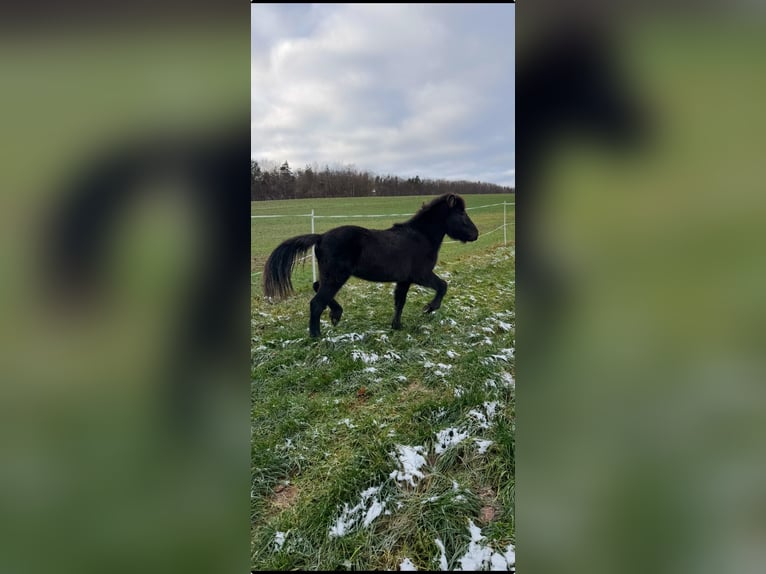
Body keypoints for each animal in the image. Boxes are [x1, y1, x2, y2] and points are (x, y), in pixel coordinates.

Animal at [264, 194, 480, 338]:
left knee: (317, 287)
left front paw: (397, 326)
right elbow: (442, 286)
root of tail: (321, 237)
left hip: (330, 276)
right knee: (316, 303)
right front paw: (429, 308)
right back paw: (317, 336)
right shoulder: (422, 275)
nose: (475, 234)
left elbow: (399, 302)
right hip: (336, 277)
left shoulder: (404, 280)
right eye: (461, 213)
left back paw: (336, 315)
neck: (420, 237)